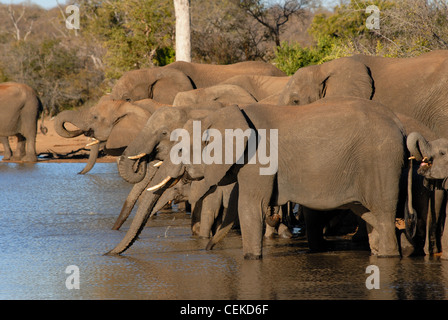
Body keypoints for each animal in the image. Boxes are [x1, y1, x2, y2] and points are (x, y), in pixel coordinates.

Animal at [107, 97, 408, 258]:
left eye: (175, 145)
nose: (106, 254)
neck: (216, 115)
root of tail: (400, 124)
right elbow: (238, 204)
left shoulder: (258, 159)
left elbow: (250, 207)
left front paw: (250, 257)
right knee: (374, 216)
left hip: (381, 161)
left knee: (383, 214)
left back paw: (389, 255)